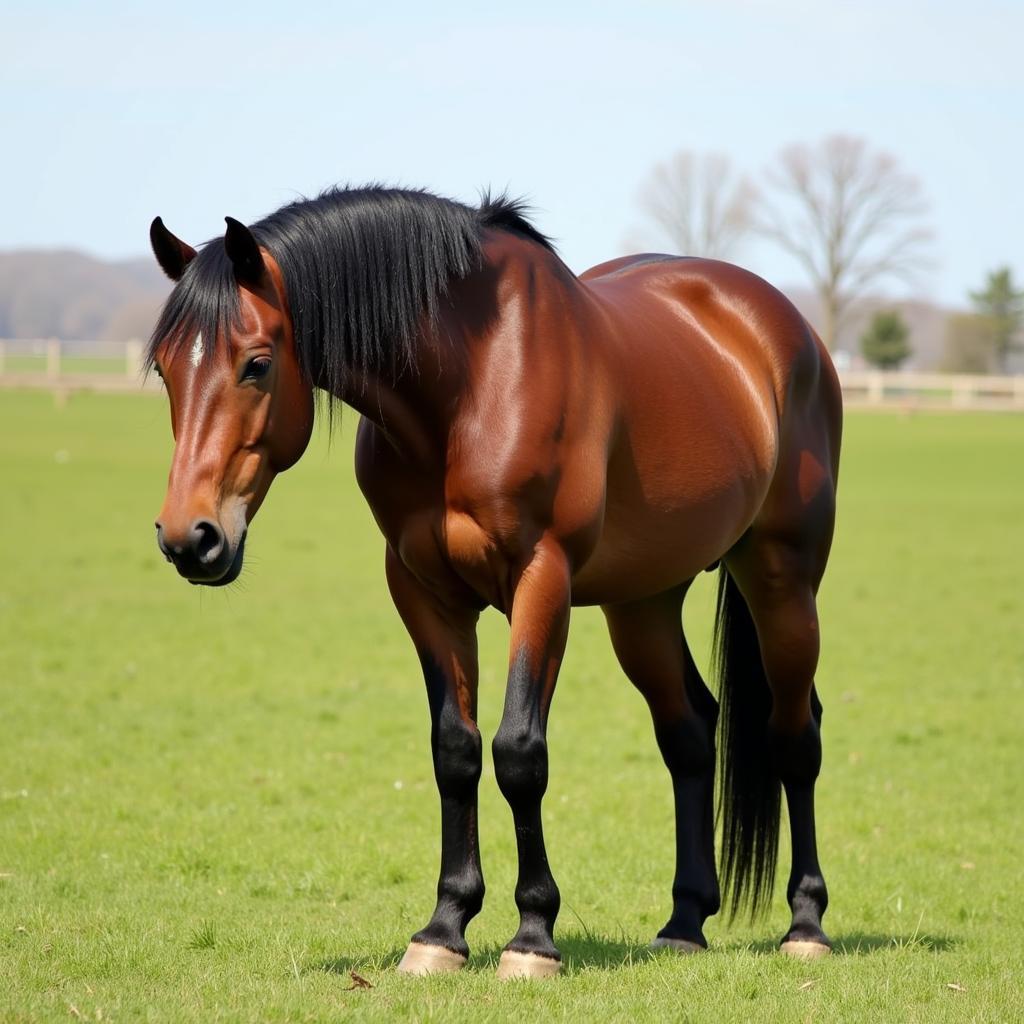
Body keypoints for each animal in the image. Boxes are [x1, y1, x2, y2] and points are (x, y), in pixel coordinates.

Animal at [148, 188, 843, 978]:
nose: (190, 537)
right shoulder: (423, 591)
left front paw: (533, 937)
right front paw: (443, 929)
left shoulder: (541, 580)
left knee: (794, 733)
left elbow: (518, 752)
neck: (470, 383)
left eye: (257, 364)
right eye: (165, 370)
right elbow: (455, 750)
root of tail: (785, 327)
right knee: (691, 731)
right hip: (643, 604)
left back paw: (806, 924)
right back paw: (684, 921)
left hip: (783, 579)